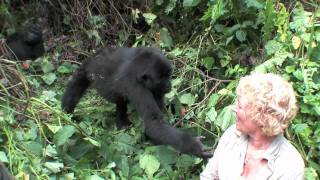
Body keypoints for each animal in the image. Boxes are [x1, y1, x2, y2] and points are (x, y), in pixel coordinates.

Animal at [62, 47, 212, 158]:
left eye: (169, 75)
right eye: (162, 78)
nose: (169, 86)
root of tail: (95, 54)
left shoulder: (155, 89)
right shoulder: (136, 86)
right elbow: (154, 122)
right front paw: (194, 146)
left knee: (120, 102)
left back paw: (121, 122)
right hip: (87, 69)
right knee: (75, 88)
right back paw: (66, 115)